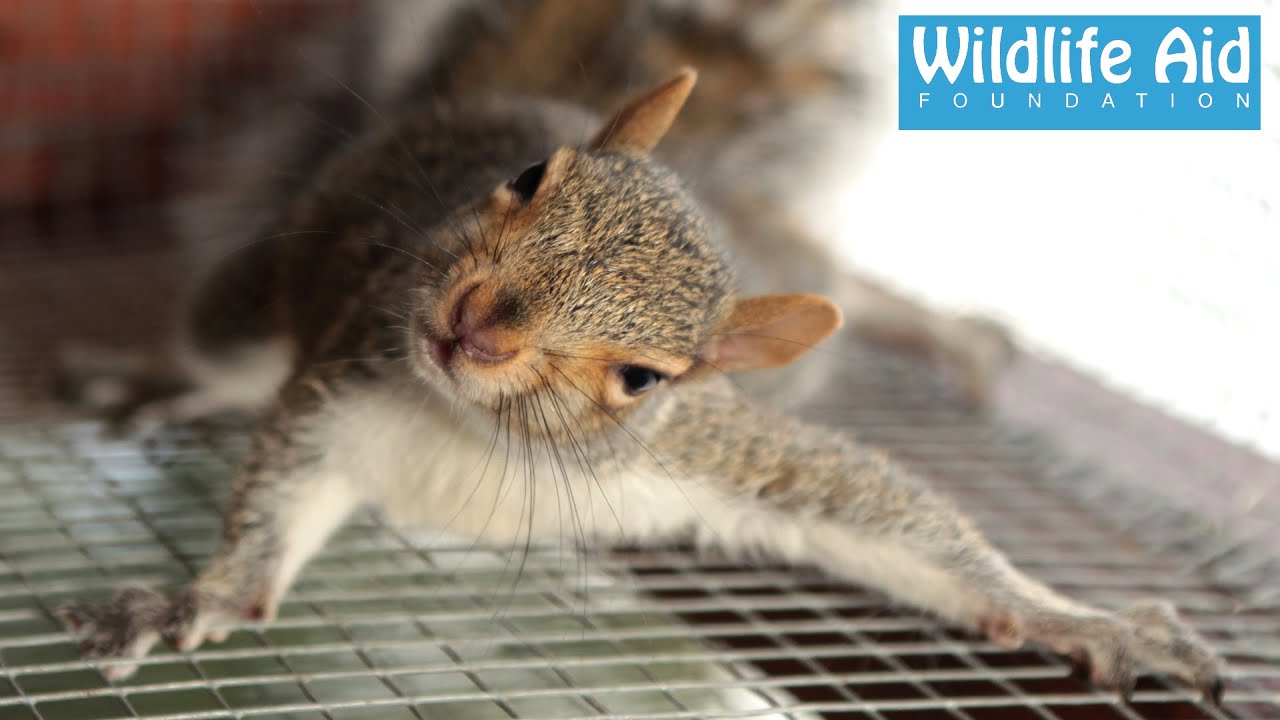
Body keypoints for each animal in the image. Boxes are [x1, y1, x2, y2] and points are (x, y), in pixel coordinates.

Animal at [54, 0, 1222, 702]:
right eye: (530, 177)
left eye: (643, 378)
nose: (476, 323)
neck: (479, 438)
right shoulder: (340, 381)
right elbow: (271, 506)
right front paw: (195, 600)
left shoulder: (705, 450)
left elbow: (878, 516)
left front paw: (1076, 620)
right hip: (262, 290)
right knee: (224, 349)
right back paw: (159, 375)